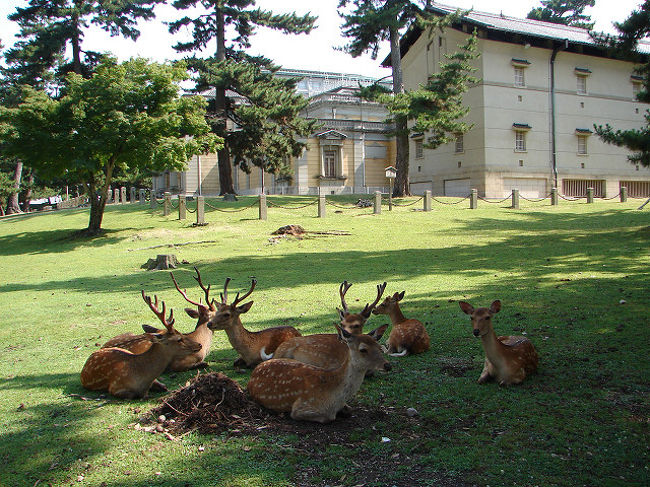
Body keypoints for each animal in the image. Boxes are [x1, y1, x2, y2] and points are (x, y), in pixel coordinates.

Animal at [247, 325, 391, 423]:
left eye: (380, 347)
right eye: (363, 349)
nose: (387, 365)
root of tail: (255, 370)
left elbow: (350, 410)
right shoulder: (300, 408)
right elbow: (328, 418)